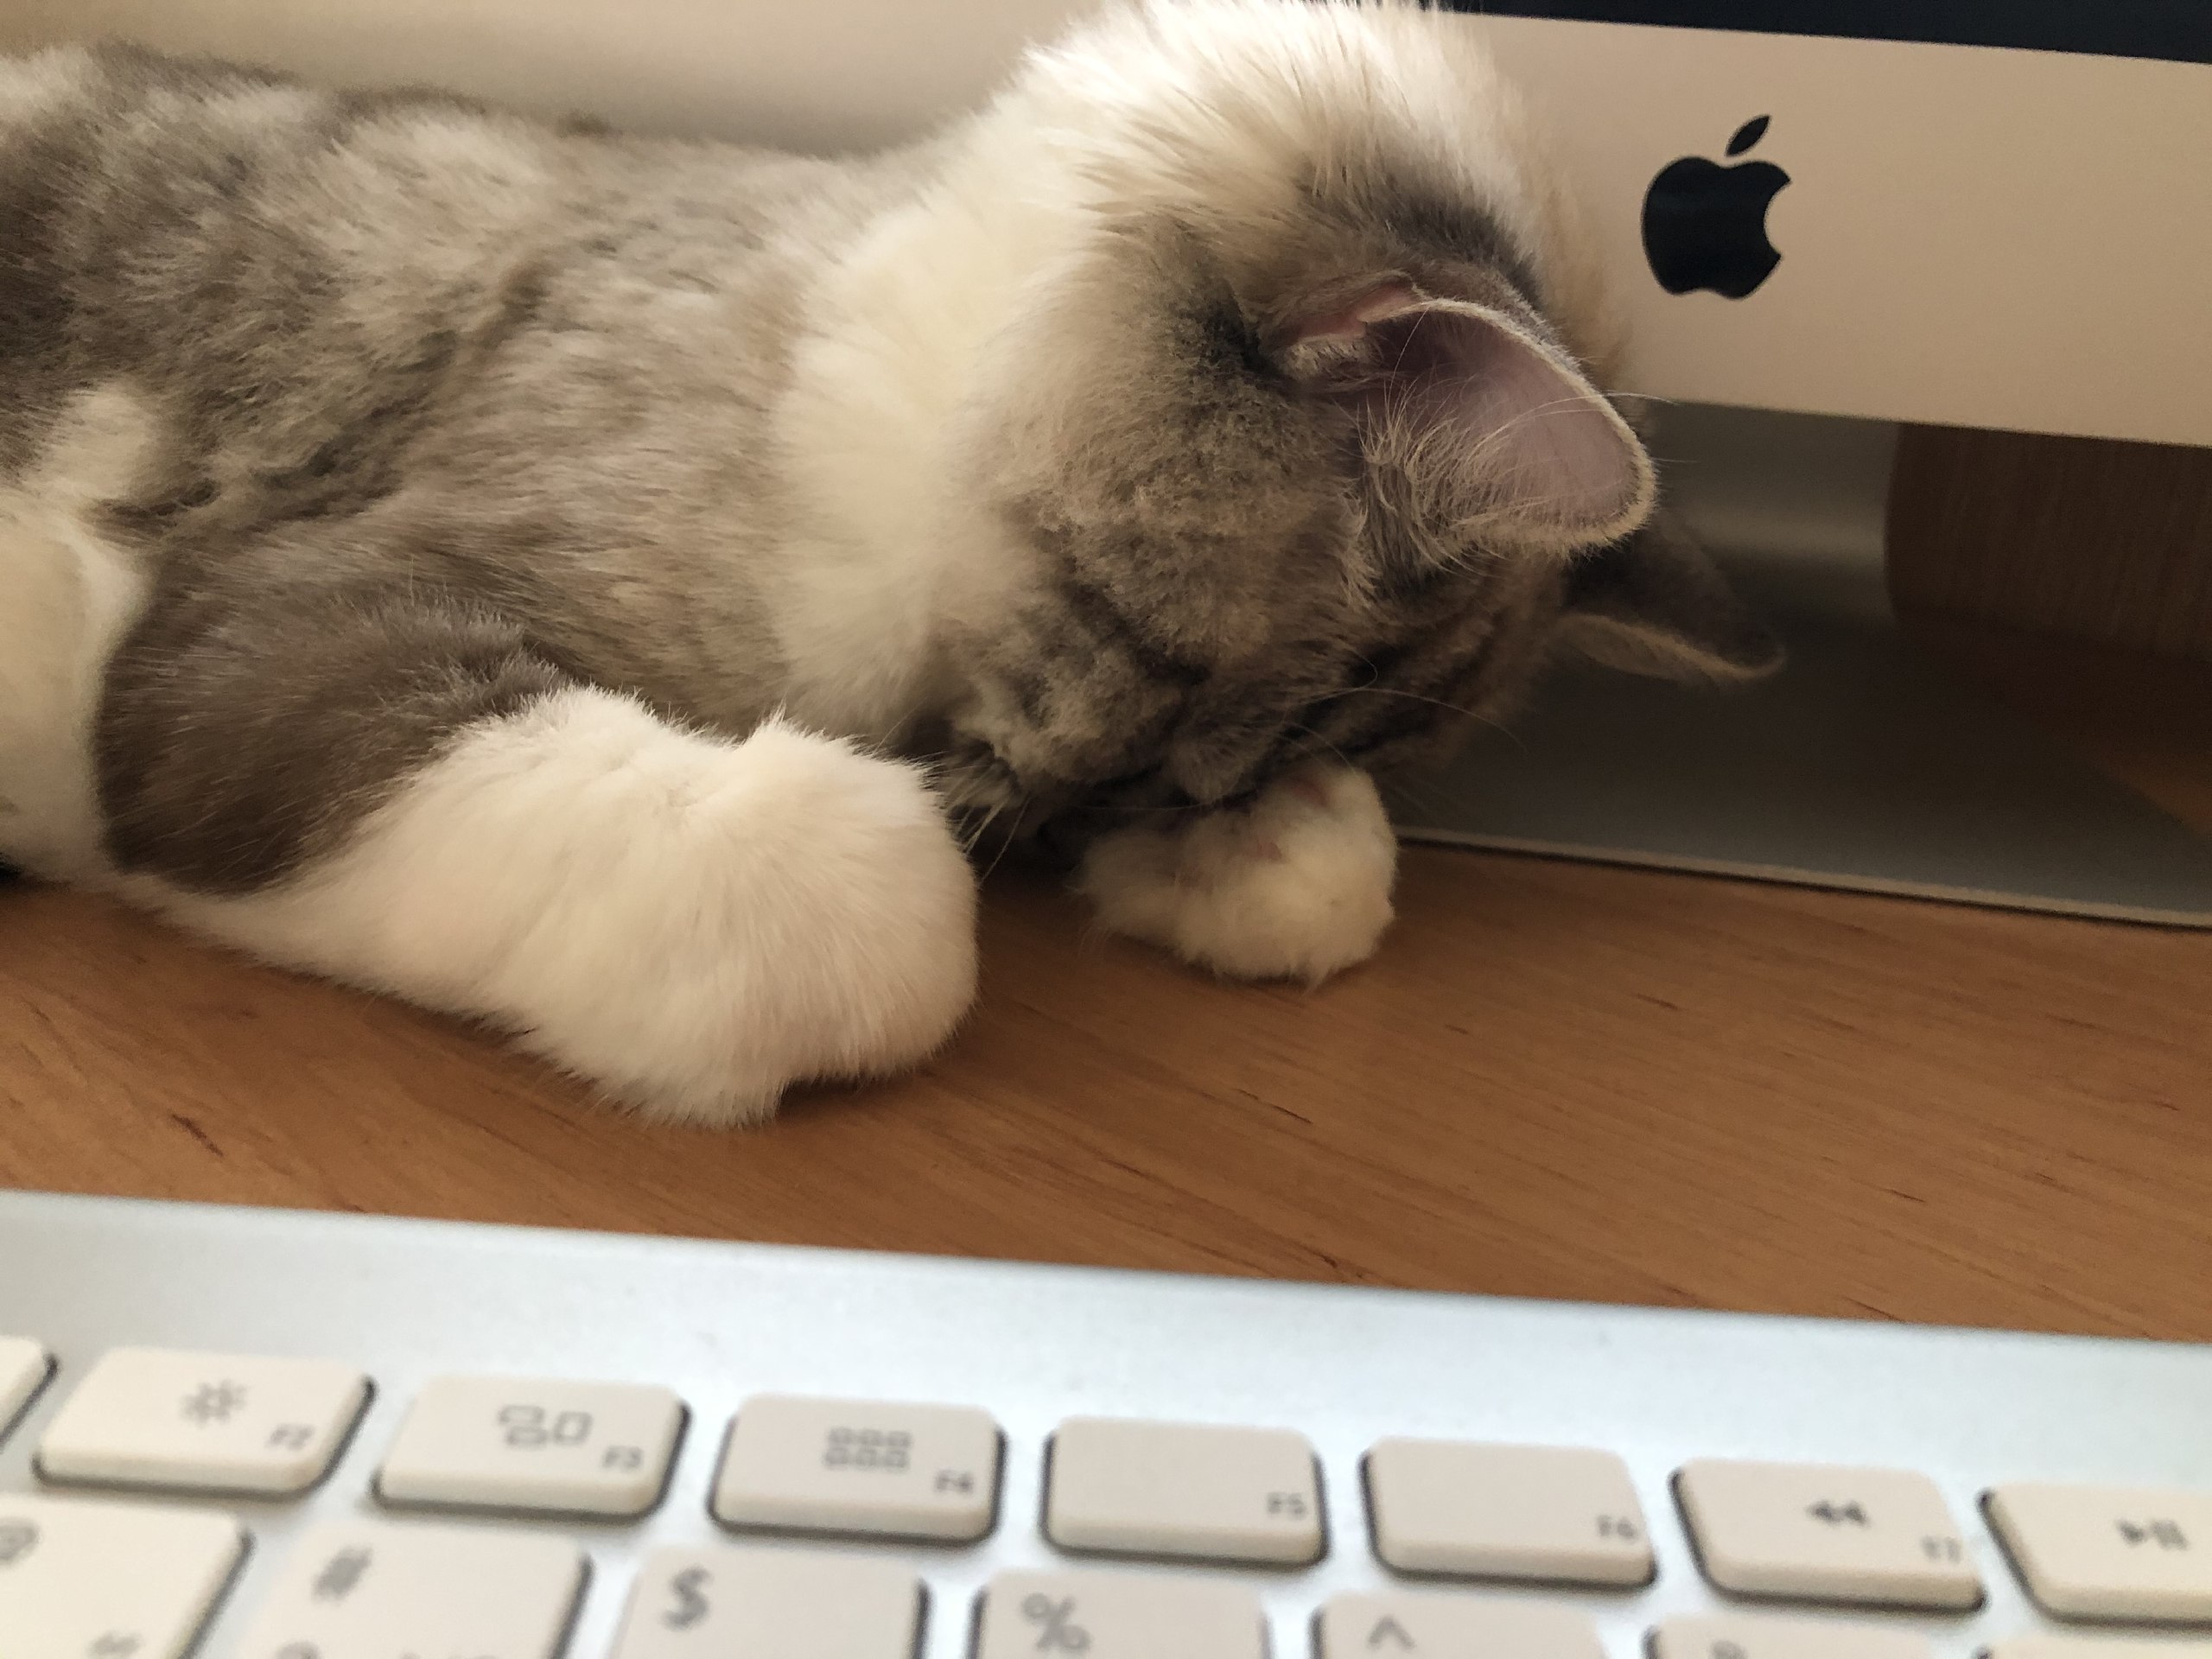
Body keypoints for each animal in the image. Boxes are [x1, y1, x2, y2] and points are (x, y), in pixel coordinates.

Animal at [0, 0, 1777, 1124]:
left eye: (1222, 759)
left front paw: (1258, 864)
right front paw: (923, 875)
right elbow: (826, 893)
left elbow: (1343, 881)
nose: (1049, 813)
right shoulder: (288, 625)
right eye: (1152, 667)